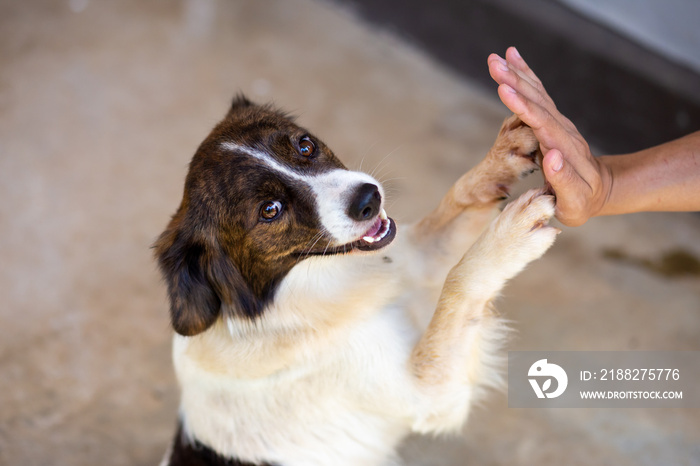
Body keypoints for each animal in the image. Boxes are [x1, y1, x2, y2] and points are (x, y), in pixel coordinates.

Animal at [156, 95, 560, 466]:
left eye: (305, 145)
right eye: (269, 210)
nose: (369, 198)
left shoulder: (414, 256)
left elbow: (458, 196)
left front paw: (503, 156)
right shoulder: (429, 393)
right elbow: (460, 279)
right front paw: (510, 237)